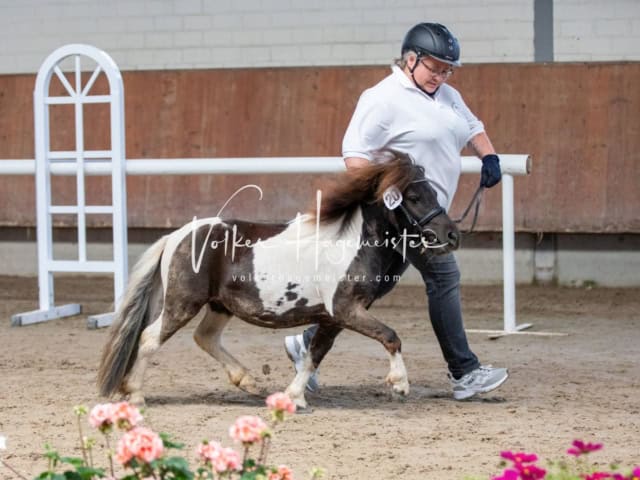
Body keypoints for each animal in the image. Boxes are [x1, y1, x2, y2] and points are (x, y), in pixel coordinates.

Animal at [97, 154, 460, 408]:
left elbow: (314, 355)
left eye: (433, 192)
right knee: (149, 339)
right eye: (414, 198)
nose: (451, 236)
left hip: (220, 305)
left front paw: (293, 397)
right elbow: (390, 336)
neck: (350, 242)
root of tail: (176, 236)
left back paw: (249, 382)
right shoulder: (347, 309)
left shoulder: (333, 318)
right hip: (183, 302)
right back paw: (136, 395)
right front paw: (399, 383)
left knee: (205, 337)